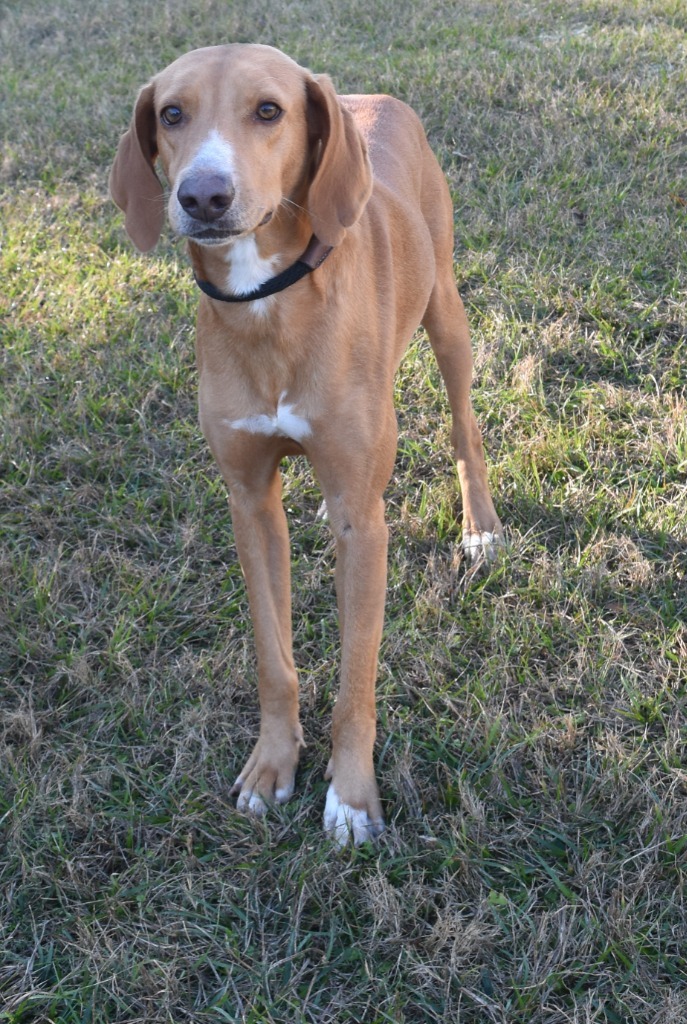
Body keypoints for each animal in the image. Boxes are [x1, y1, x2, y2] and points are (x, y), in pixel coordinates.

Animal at [110, 41, 501, 847]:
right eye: (171, 113)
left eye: (269, 110)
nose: (202, 196)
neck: (268, 300)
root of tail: (374, 98)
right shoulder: (249, 502)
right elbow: (273, 656)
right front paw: (272, 765)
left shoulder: (364, 523)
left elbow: (357, 675)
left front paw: (350, 797)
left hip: (447, 314)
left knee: (463, 426)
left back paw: (479, 525)